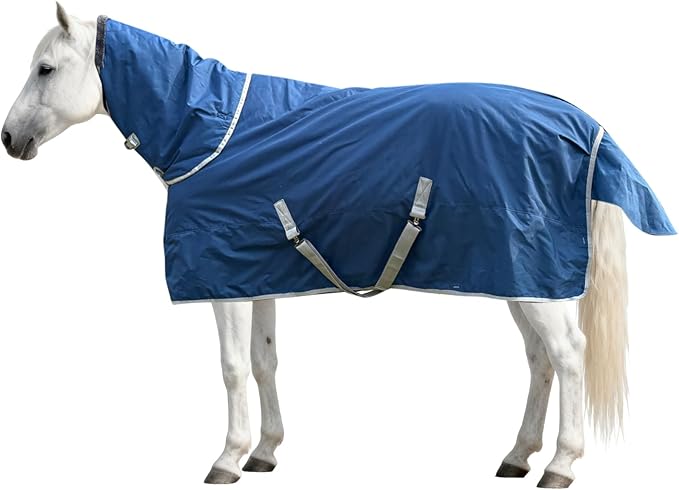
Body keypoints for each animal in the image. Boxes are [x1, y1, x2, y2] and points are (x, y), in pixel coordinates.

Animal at [2, 4, 675, 488]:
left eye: (45, 69)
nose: (9, 139)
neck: (211, 133)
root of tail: (583, 124)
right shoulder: (253, 274)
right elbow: (265, 363)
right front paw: (265, 453)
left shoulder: (223, 282)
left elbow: (232, 368)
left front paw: (227, 458)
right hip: (517, 275)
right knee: (540, 361)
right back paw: (518, 456)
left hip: (535, 280)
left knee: (568, 355)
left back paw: (560, 465)